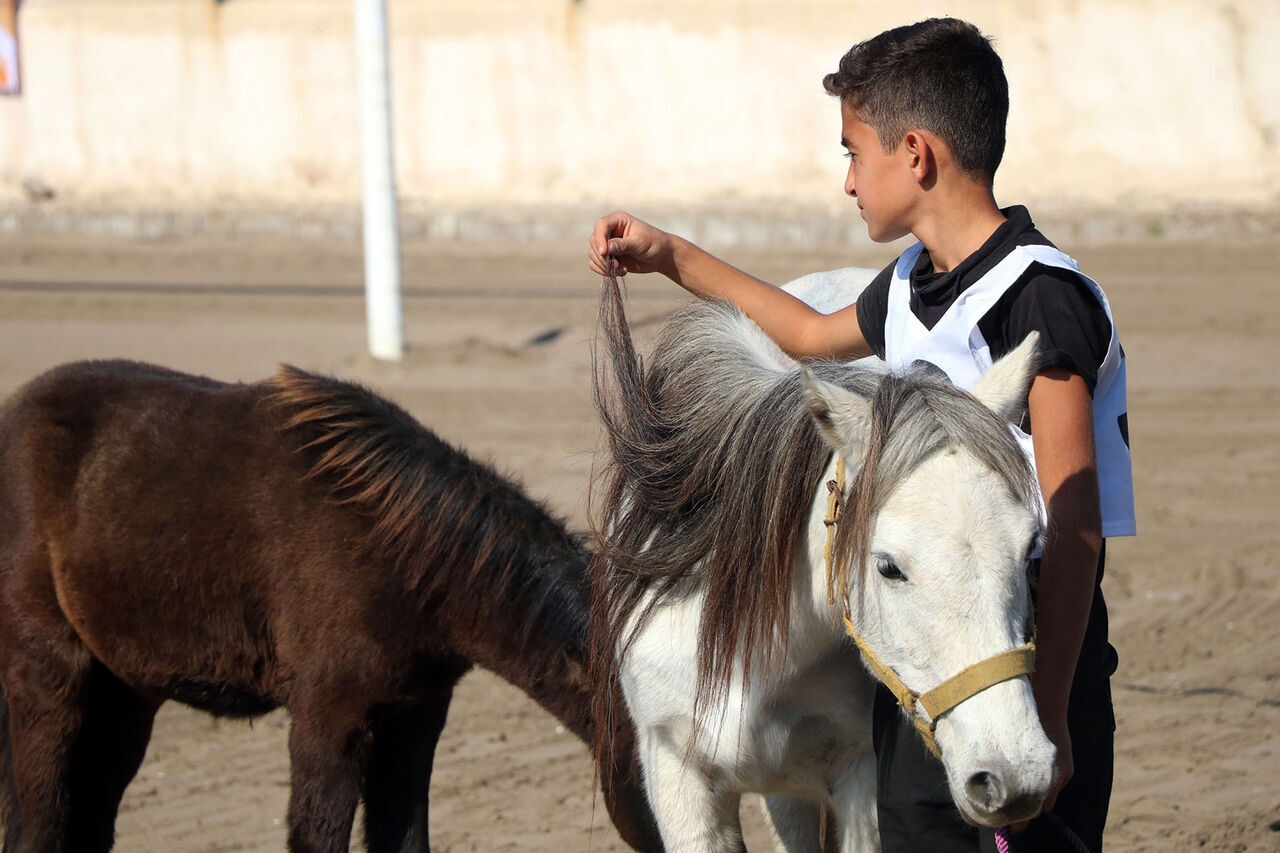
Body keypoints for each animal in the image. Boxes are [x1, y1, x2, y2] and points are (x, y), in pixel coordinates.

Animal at [0, 361, 660, 850]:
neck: (401, 556)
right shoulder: (328, 718)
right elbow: (318, 834)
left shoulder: (415, 714)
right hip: (51, 681)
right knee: (40, 821)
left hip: (125, 693)